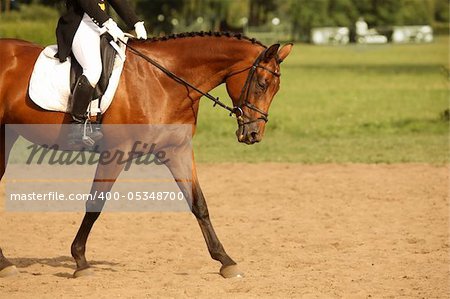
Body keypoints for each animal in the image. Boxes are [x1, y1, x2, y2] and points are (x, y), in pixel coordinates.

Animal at [0, 32, 294, 278]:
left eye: (275, 88)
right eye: (262, 83)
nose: (254, 134)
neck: (163, 81)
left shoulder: (177, 151)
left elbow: (199, 204)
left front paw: (225, 260)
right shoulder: (116, 152)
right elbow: (95, 204)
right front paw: (81, 261)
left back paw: (5, 264)